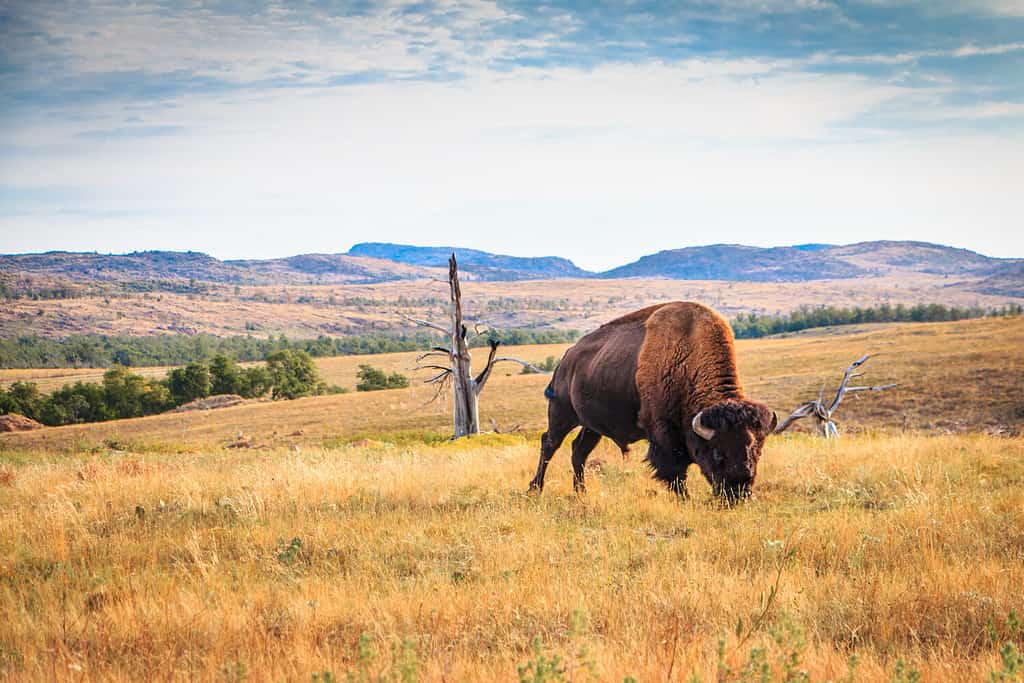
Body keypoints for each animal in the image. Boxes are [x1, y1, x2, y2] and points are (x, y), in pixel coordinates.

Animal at [528, 301, 774, 499]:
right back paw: (535, 489)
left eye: (757, 451)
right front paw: (685, 499)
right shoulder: (662, 433)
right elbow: (674, 471)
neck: (687, 356)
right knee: (549, 444)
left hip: (592, 427)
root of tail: (565, 360)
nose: (738, 494)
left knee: (578, 451)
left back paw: (581, 492)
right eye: (718, 453)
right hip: (561, 413)